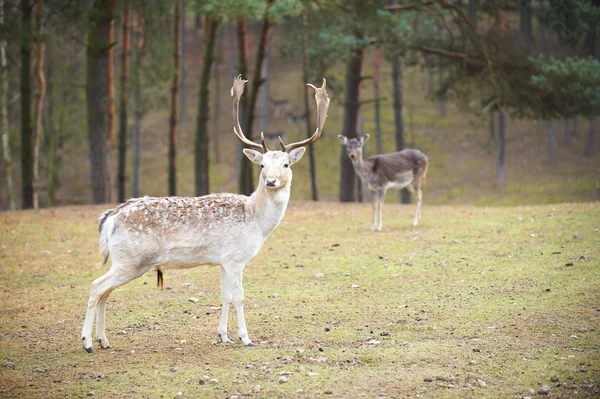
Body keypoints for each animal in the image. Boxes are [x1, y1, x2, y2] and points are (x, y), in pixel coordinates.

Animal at [80, 76, 330, 354]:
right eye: (262, 165)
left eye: (286, 164)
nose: (271, 181)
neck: (257, 222)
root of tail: (110, 217)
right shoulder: (235, 258)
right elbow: (239, 297)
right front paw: (246, 338)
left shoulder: (223, 260)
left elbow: (225, 295)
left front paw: (223, 335)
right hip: (132, 259)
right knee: (97, 286)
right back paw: (87, 342)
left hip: (122, 260)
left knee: (106, 292)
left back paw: (103, 340)